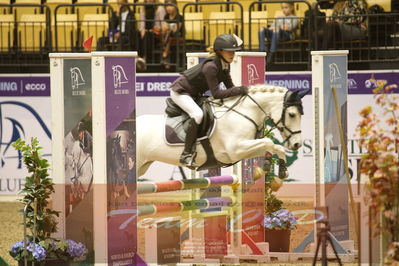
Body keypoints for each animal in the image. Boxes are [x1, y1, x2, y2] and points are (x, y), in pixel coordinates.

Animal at [136, 84, 308, 178]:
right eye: (292, 115)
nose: (297, 144)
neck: (243, 112)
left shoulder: (244, 150)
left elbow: (273, 146)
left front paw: (277, 168)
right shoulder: (236, 149)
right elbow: (268, 142)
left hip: (142, 166)